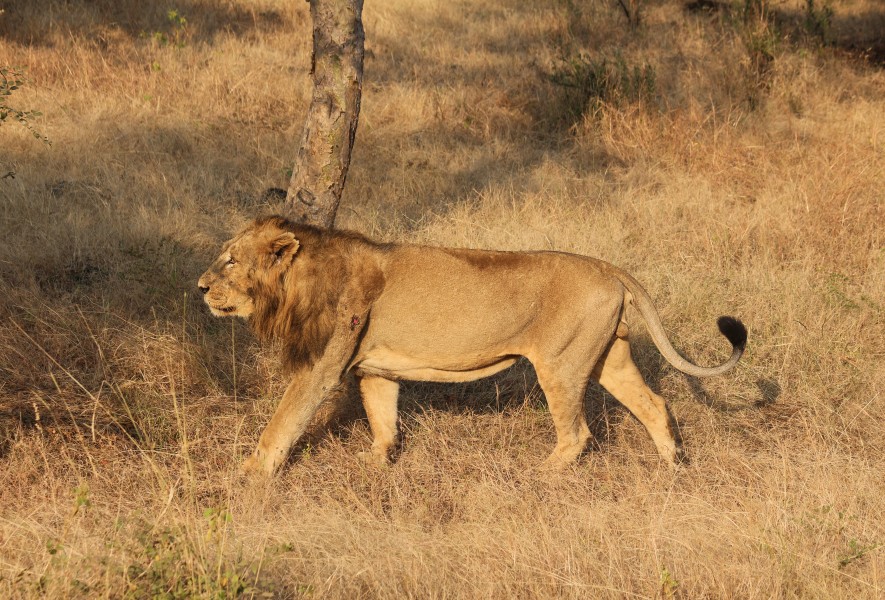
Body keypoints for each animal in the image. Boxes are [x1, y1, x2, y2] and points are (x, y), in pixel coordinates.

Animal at [198, 215, 746, 476]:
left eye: (230, 261)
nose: (200, 287)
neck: (297, 282)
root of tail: (609, 267)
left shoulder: (320, 367)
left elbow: (282, 422)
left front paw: (250, 475)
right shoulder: (375, 369)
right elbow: (383, 420)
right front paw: (376, 464)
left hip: (560, 365)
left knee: (577, 434)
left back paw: (540, 476)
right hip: (608, 357)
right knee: (654, 404)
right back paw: (673, 467)